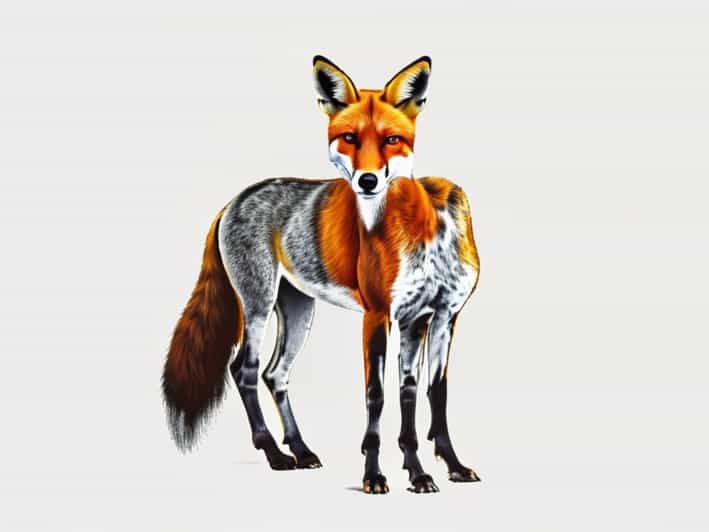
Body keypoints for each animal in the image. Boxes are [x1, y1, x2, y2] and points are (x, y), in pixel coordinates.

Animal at [162, 55, 481, 494]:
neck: (426, 231)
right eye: (348, 137)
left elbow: (427, 394)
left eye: (391, 140)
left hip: (299, 310)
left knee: (275, 373)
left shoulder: (437, 317)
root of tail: (233, 201)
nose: (368, 181)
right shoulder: (379, 314)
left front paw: (440, 468)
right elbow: (377, 397)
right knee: (243, 370)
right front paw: (376, 475)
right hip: (258, 305)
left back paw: (301, 449)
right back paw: (275, 453)